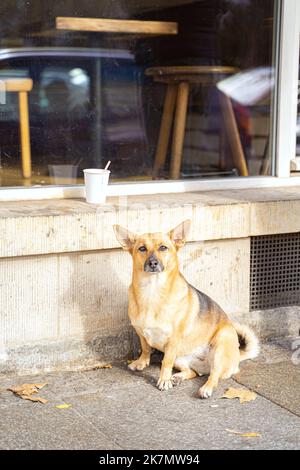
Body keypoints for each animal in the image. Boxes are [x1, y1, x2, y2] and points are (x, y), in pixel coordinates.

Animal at [113, 219, 258, 396]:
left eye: (163, 247)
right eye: (142, 248)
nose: (153, 263)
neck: (152, 291)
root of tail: (237, 357)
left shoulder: (172, 342)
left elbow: (165, 362)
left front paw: (164, 380)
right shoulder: (141, 332)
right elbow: (145, 348)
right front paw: (142, 362)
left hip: (220, 345)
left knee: (214, 375)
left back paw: (205, 388)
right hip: (181, 358)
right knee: (193, 372)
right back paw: (178, 377)